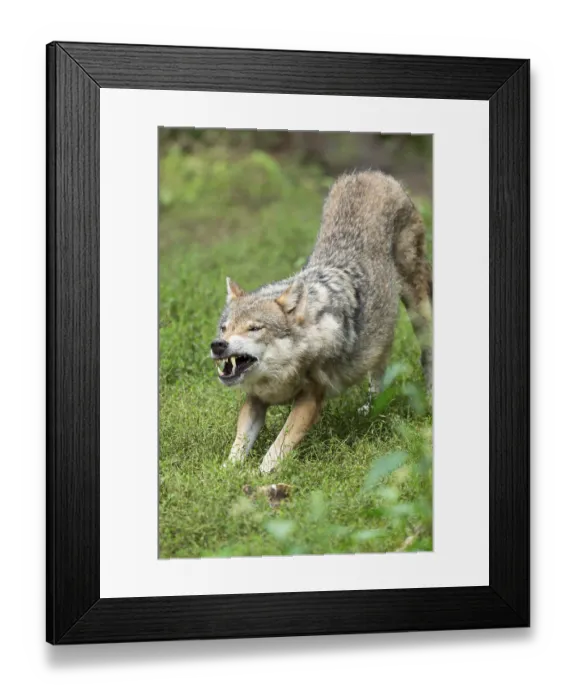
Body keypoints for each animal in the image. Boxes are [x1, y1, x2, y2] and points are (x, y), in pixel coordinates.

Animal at [210, 171, 432, 473]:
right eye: (225, 328)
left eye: (254, 328)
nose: (218, 345)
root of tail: (370, 173)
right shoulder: (255, 399)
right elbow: (239, 443)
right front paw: (226, 472)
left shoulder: (310, 399)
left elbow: (277, 447)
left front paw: (259, 477)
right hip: (380, 332)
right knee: (380, 365)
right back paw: (370, 407)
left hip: (417, 307)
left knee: (426, 352)